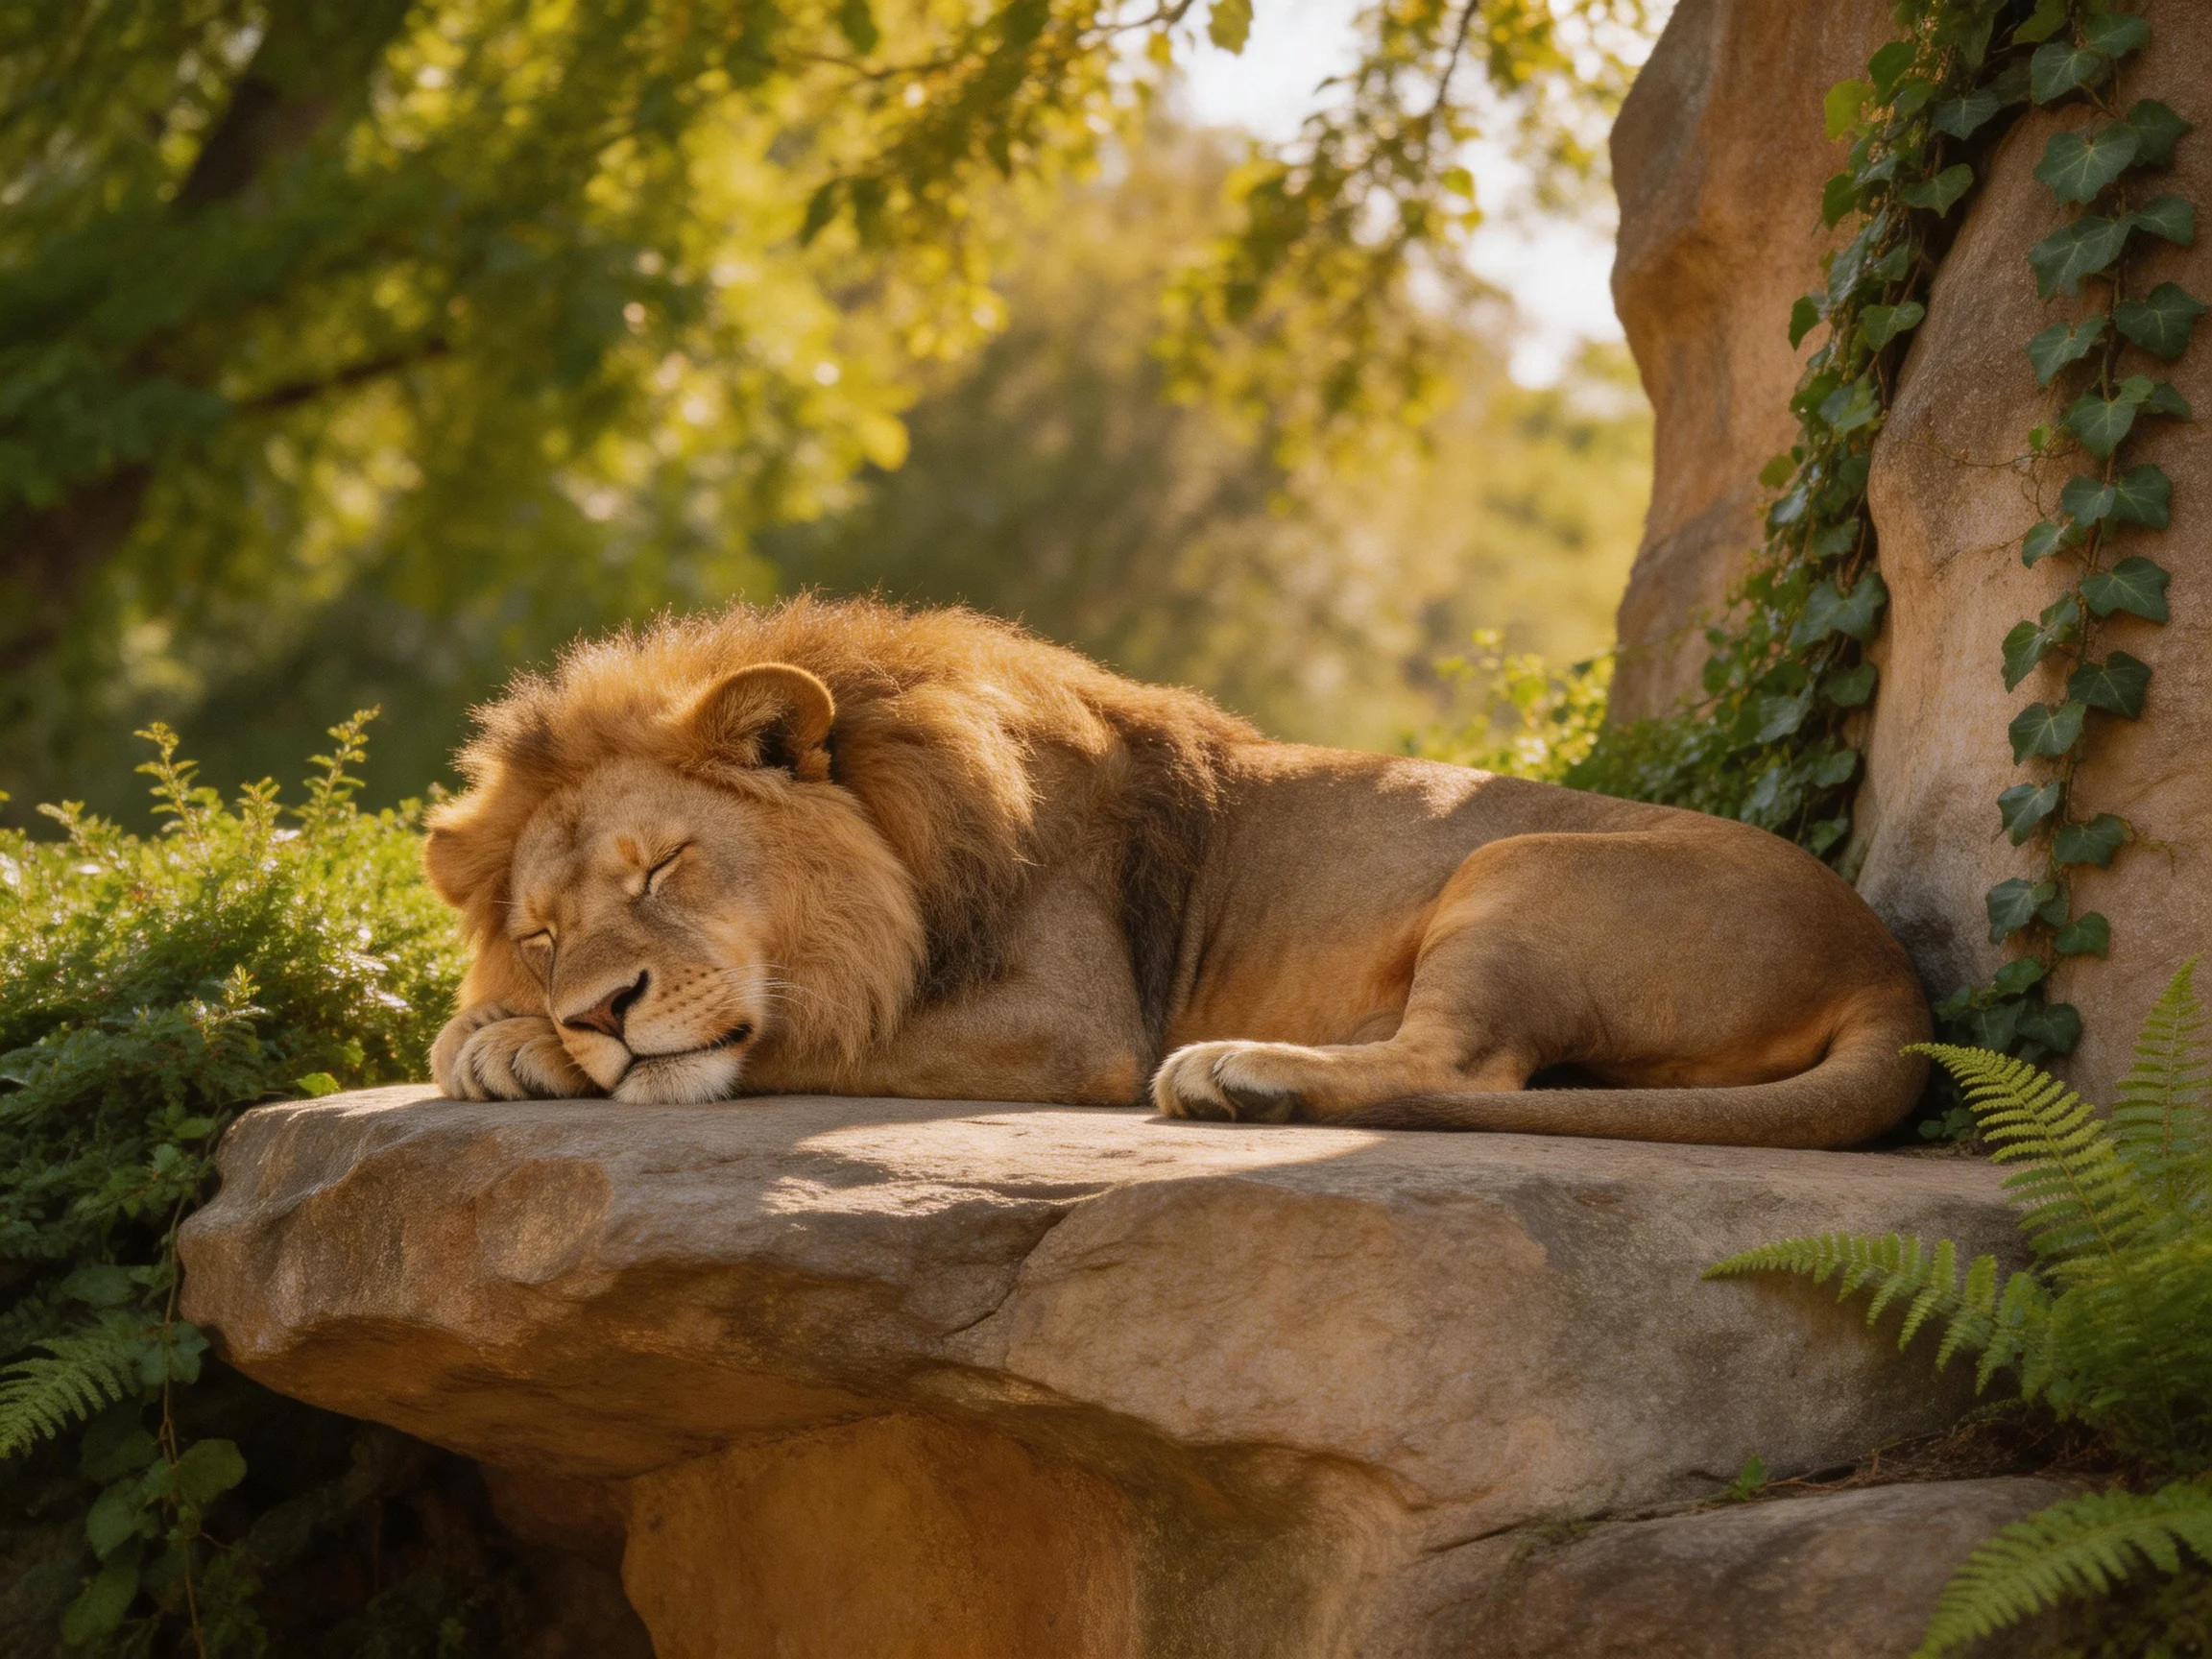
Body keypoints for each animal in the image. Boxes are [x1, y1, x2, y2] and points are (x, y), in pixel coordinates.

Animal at [422, 596, 1930, 1147]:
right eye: (542, 934)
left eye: (667, 869)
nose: (594, 1008)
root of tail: (1890, 969)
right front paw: (507, 1029)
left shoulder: (1070, 1020)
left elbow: (808, 1035)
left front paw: (525, 1051)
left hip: (1519, 868)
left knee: (1463, 1066)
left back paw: (1236, 1075)